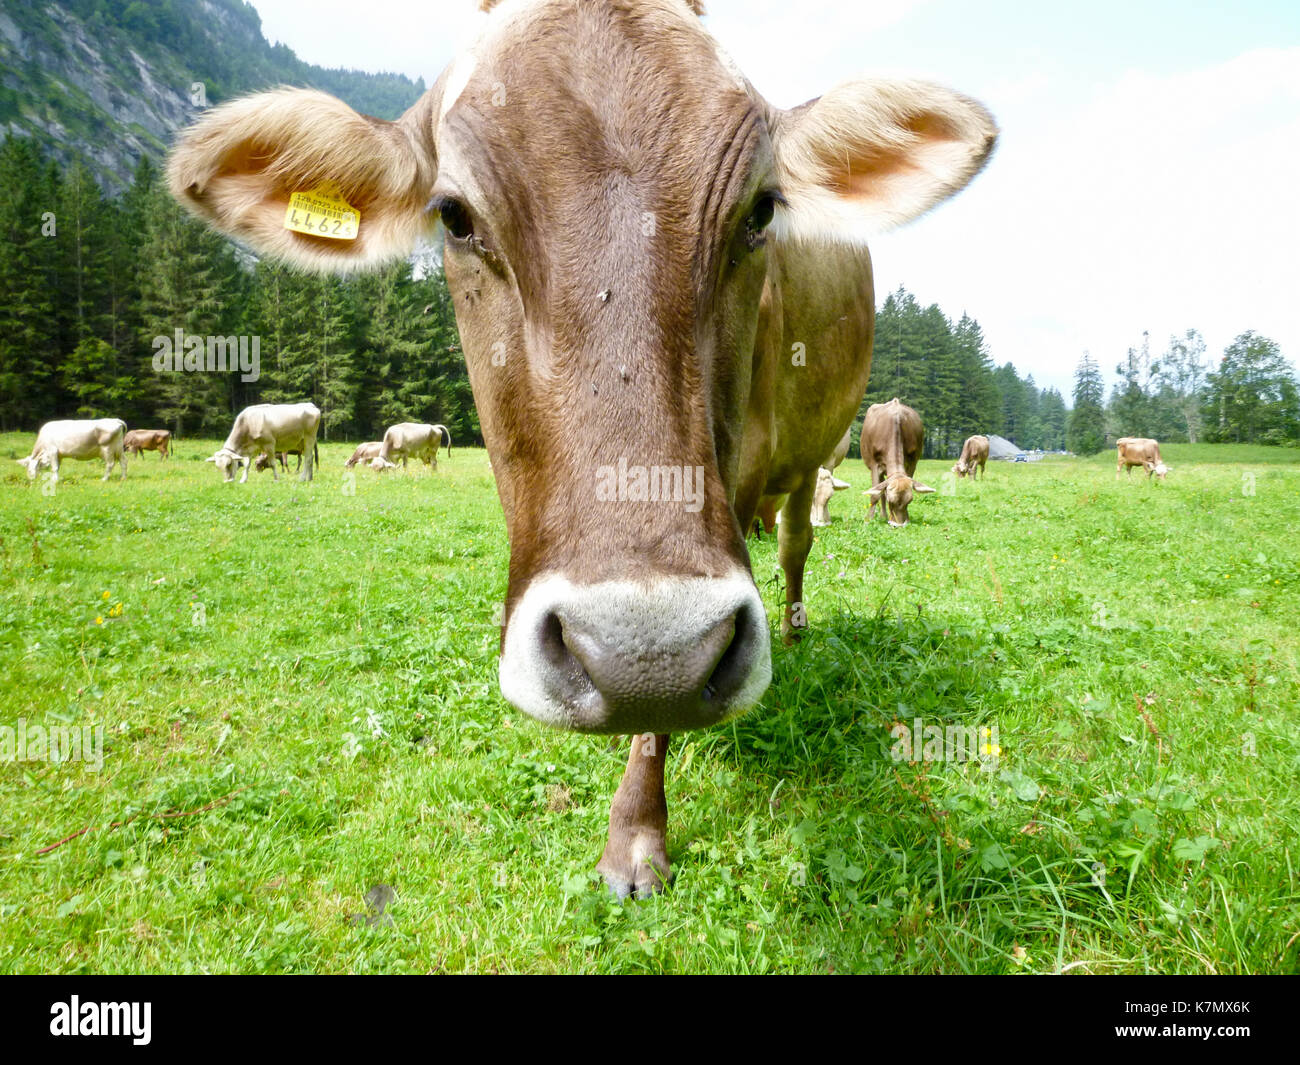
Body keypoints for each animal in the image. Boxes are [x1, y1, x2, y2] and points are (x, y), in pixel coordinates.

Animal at [167, 0, 996, 897]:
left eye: (761, 211)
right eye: (455, 215)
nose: (642, 654)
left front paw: (635, 833)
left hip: (817, 446)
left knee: (796, 540)